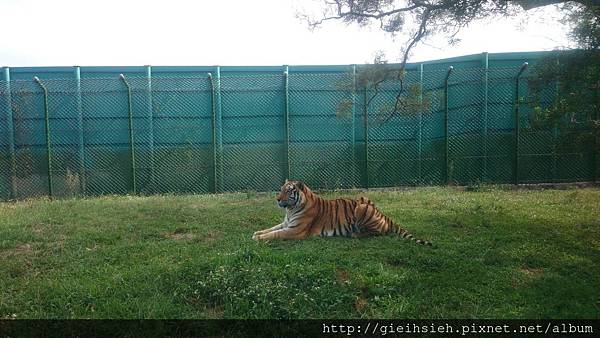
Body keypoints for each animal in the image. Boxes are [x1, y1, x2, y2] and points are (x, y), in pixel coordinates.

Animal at [252, 180, 432, 246]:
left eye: (288, 191)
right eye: (281, 189)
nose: (277, 199)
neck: (291, 209)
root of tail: (383, 214)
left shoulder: (295, 230)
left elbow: (276, 234)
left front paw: (258, 238)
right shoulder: (286, 223)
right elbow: (271, 228)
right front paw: (257, 232)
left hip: (363, 207)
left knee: (379, 232)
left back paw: (355, 234)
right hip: (364, 200)